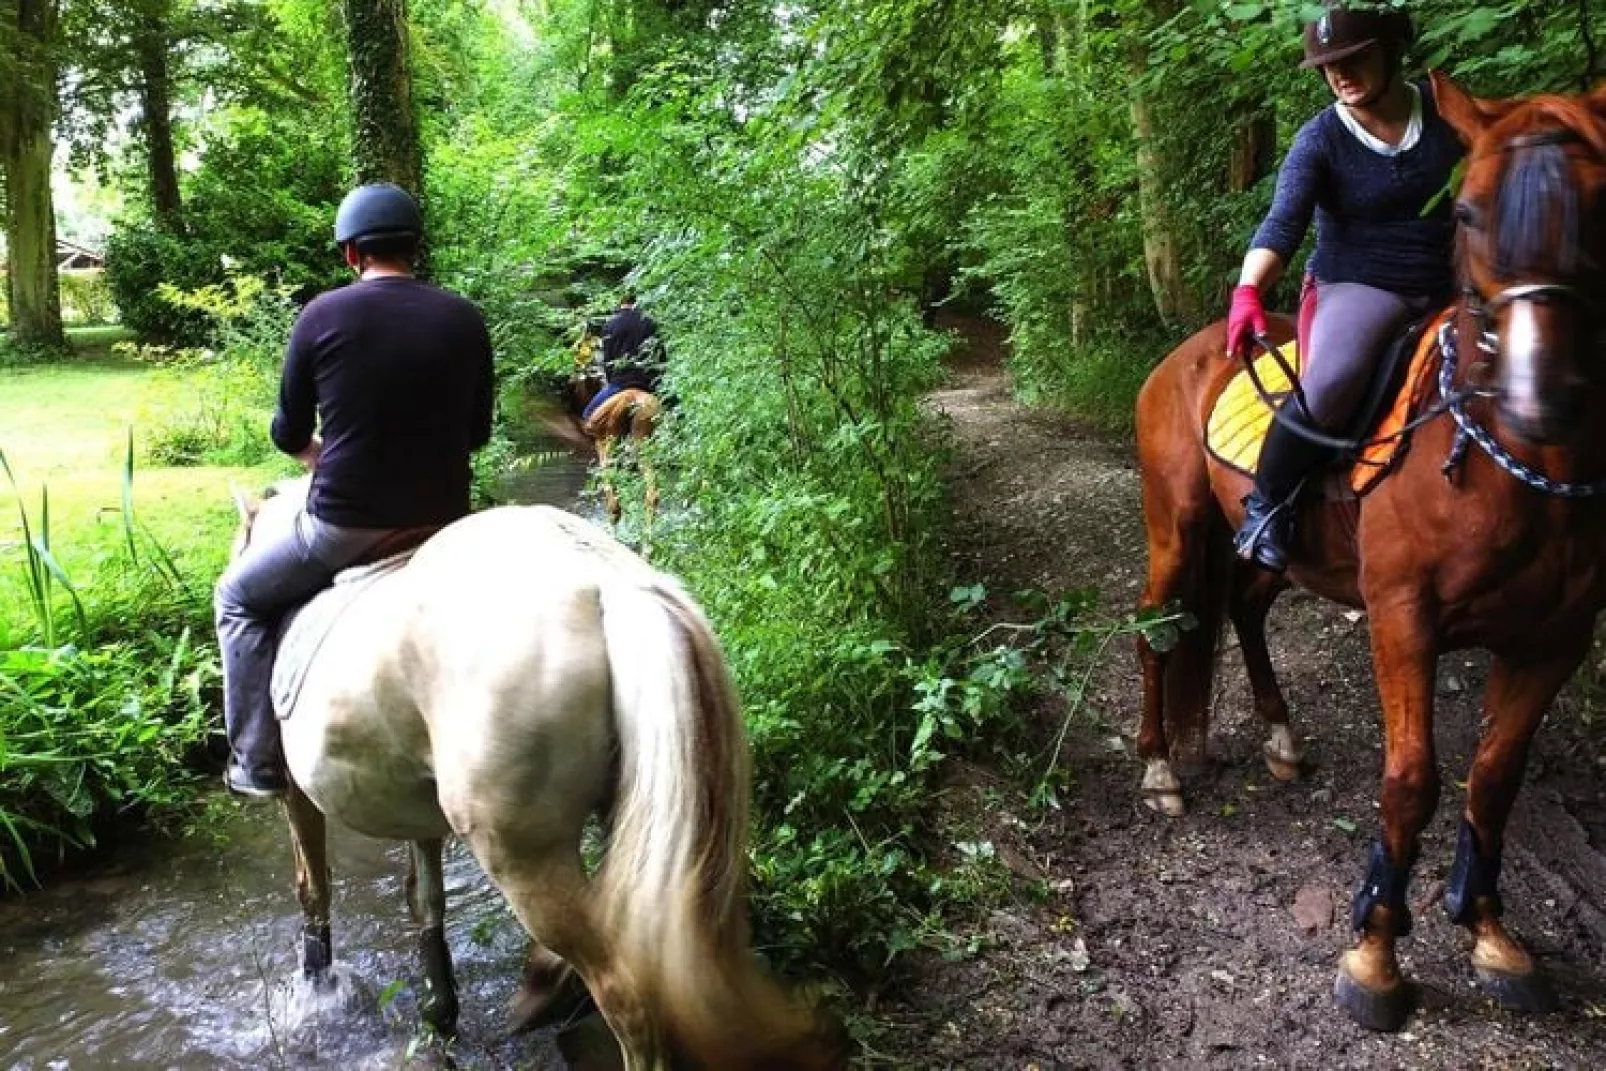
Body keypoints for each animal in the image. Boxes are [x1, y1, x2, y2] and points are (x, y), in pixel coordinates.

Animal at [237, 484, 847, 1071]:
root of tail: (606, 582)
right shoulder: (421, 816)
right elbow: (425, 899)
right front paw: (439, 1014)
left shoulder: (297, 797)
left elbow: (313, 886)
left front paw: (316, 985)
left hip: (520, 853)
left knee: (625, 994)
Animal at [1130, 71, 1606, 1034]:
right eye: (1466, 211)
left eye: (1604, 202)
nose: (1542, 397)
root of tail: (1182, 355)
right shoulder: (1403, 619)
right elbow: (1411, 780)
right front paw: (1376, 954)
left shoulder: (1556, 640)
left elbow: (1493, 778)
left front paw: (1493, 935)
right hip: (1176, 529)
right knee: (1158, 628)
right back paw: (1160, 767)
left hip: (1270, 549)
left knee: (1242, 608)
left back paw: (1280, 737)